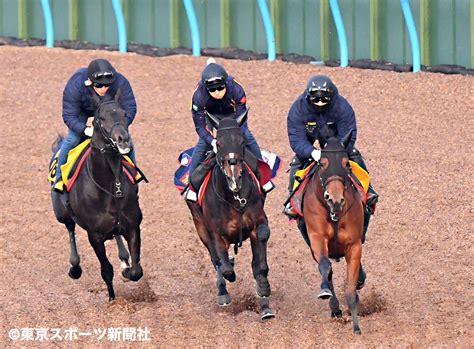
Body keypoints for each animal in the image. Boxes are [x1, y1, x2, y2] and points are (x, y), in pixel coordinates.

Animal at [50, 92, 143, 300]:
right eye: (101, 119)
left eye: (124, 114)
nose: (123, 140)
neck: (112, 188)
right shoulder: (95, 235)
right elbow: (106, 270)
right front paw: (112, 299)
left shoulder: (133, 226)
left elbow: (136, 271)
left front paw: (127, 268)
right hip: (61, 214)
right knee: (70, 229)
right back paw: (75, 267)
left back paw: (123, 259)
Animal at [186, 110, 274, 320]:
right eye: (218, 143)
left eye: (241, 141)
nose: (234, 173)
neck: (234, 197)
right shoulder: (216, 234)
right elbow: (224, 267)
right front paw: (227, 281)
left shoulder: (258, 222)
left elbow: (260, 261)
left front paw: (263, 291)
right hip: (200, 228)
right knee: (216, 261)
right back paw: (223, 293)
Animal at [300, 132, 366, 334]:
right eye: (322, 163)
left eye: (346, 164)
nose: (335, 200)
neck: (334, 213)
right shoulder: (316, 238)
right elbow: (324, 266)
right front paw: (326, 294)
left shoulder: (354, 245)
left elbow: (351, 288)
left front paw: (356, 325)